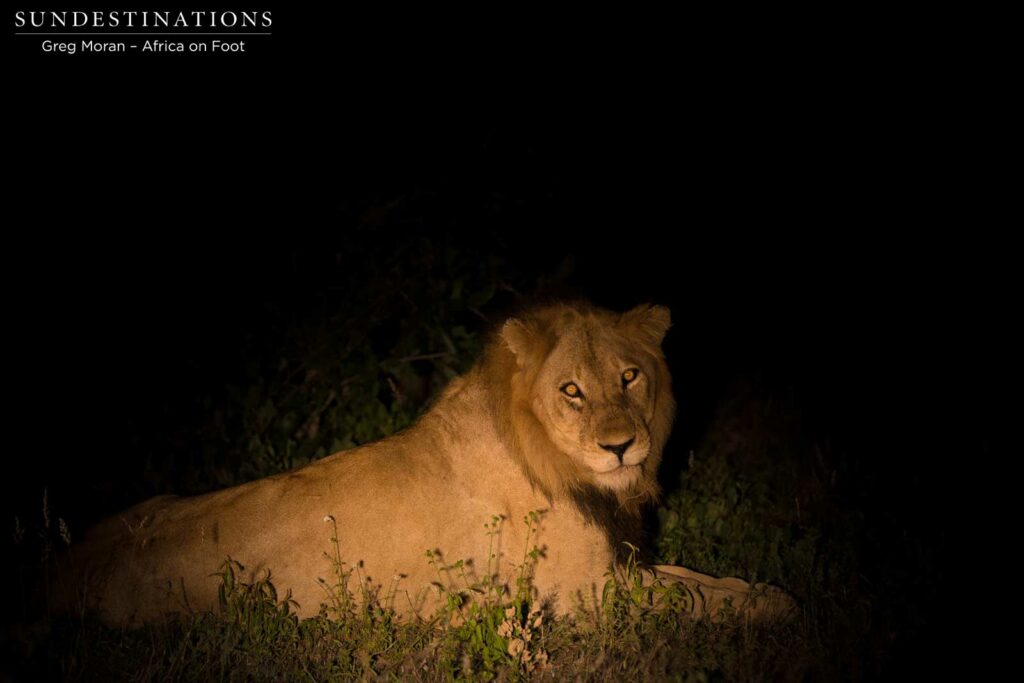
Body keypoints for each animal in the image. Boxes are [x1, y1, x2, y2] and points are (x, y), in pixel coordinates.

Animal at [56, 302, 792, 625]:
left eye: (630, 376)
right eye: (572, 390)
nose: (620, 445)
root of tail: (65, 571)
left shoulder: (621, 566)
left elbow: (698, 575)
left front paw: (762, 590)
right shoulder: (588, 592)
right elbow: (694, 594)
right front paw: (780, 606)